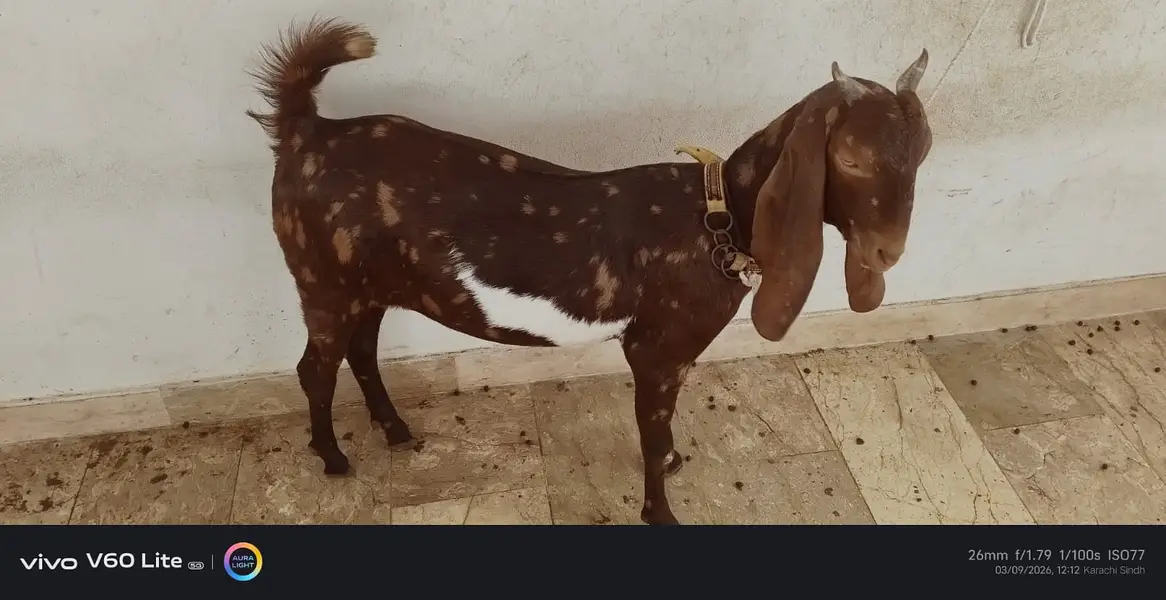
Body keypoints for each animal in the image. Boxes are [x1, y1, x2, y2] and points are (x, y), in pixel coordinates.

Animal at [245, 17, 933, 525]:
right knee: (315, 367)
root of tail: (305, 132)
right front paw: (661, 511)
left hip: (369, 286)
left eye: (924, 148)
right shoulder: (656, 350)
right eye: (850, 158)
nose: (888, 253)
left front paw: (675, 461)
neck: (721, 217)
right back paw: (334, 458)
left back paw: (393, 430)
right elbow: (650, 434)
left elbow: (662, 431)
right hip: (323, 284)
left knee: (361, 351)